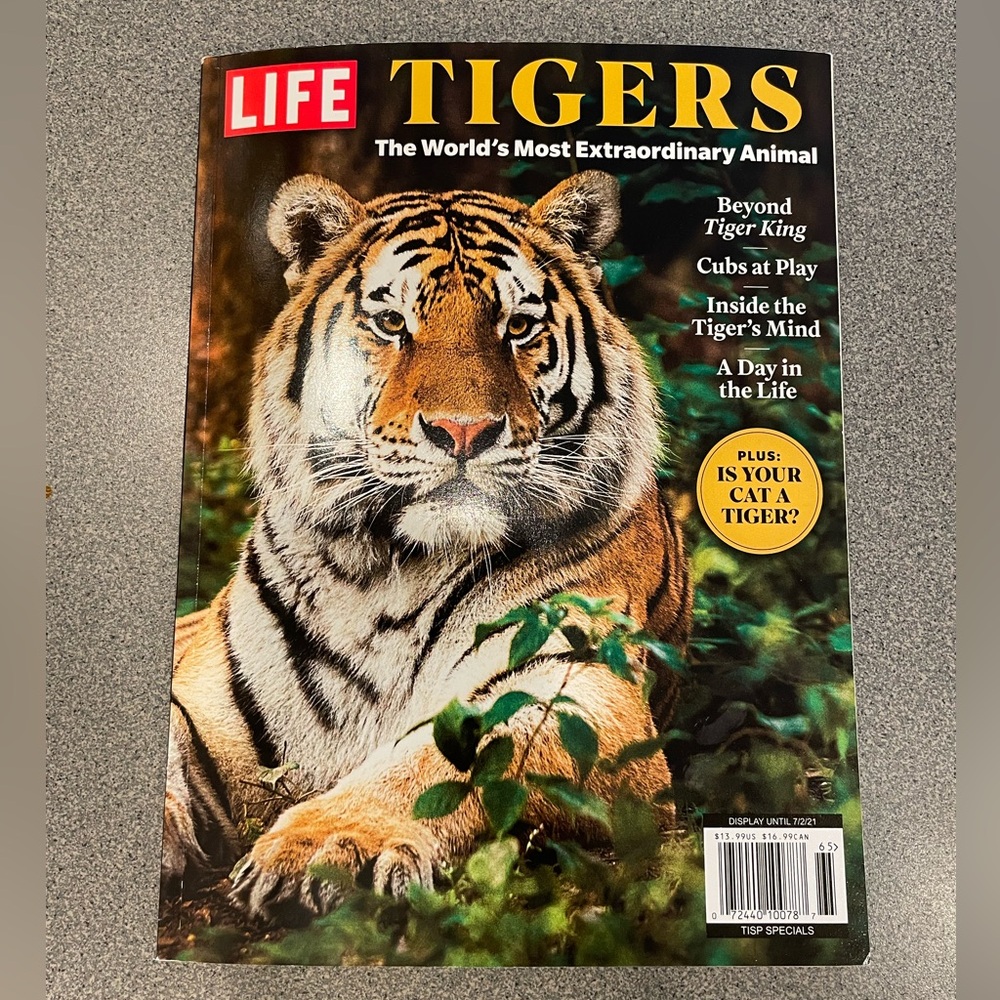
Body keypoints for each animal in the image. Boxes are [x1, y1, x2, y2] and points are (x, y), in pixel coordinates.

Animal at [160, 169, 692, 925]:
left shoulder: (583, 687)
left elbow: (451, 755)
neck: (387, 572)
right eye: (392, 324)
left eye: (518, 327)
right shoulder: (199, 685)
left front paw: (331, 845)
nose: (462, 431)